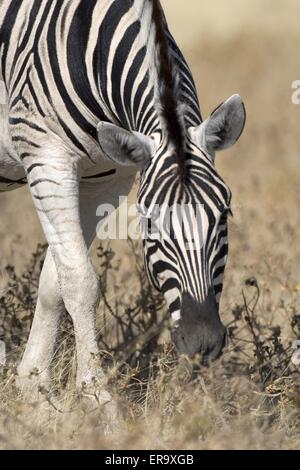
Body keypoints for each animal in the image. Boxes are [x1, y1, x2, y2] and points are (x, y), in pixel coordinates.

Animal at [0, 0, 246, 398]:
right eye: (149, 222)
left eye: (224, 215)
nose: (202, 342)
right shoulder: (45, 156)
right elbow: (80, 282)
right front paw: (95, 394)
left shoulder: (105, 179)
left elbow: (55, 279)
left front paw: (34, 387)